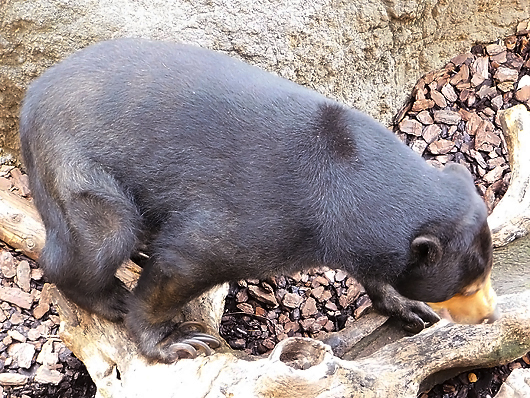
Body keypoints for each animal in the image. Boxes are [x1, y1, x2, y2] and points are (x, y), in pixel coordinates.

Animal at [19, 38, 496, 362]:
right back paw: (110, 296)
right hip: (72, 163)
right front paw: (175, 341)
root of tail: (30, 98)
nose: (489, 316)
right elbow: (184, 261)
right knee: (100, 238)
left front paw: (408, 305)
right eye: (466, 288)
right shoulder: (261, 220)